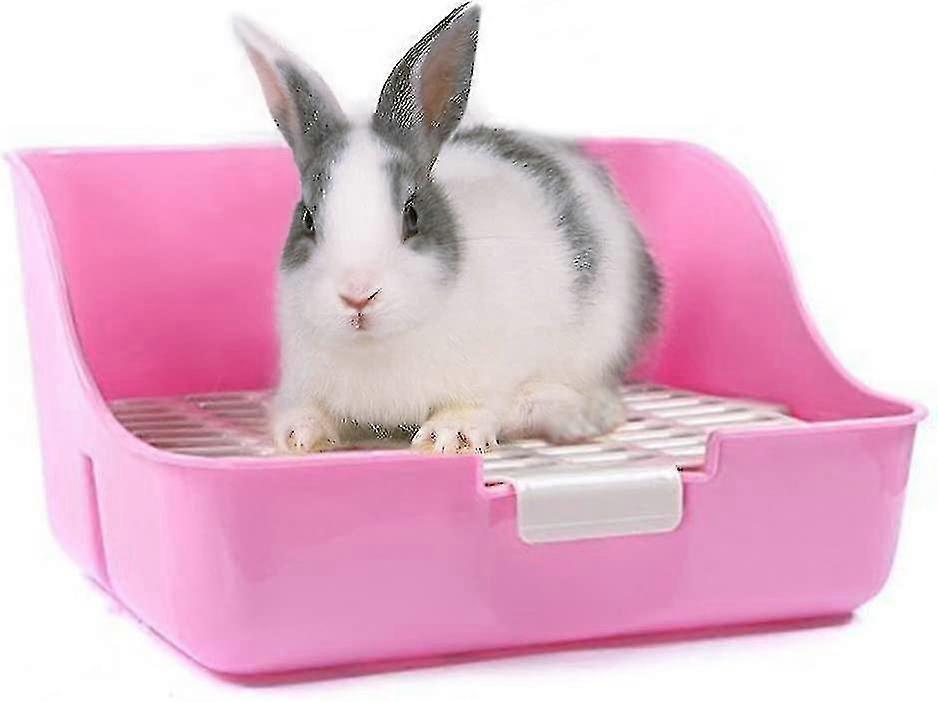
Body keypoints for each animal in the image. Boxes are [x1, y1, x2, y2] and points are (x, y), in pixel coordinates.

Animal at [234, 3, 661, 454]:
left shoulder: (486, 378)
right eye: (308, 219)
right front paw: (300, 435)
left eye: (412, 215)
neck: (378, 345)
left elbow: (471, 406)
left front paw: (450, 437)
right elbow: (310, 411)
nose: (357, 296)